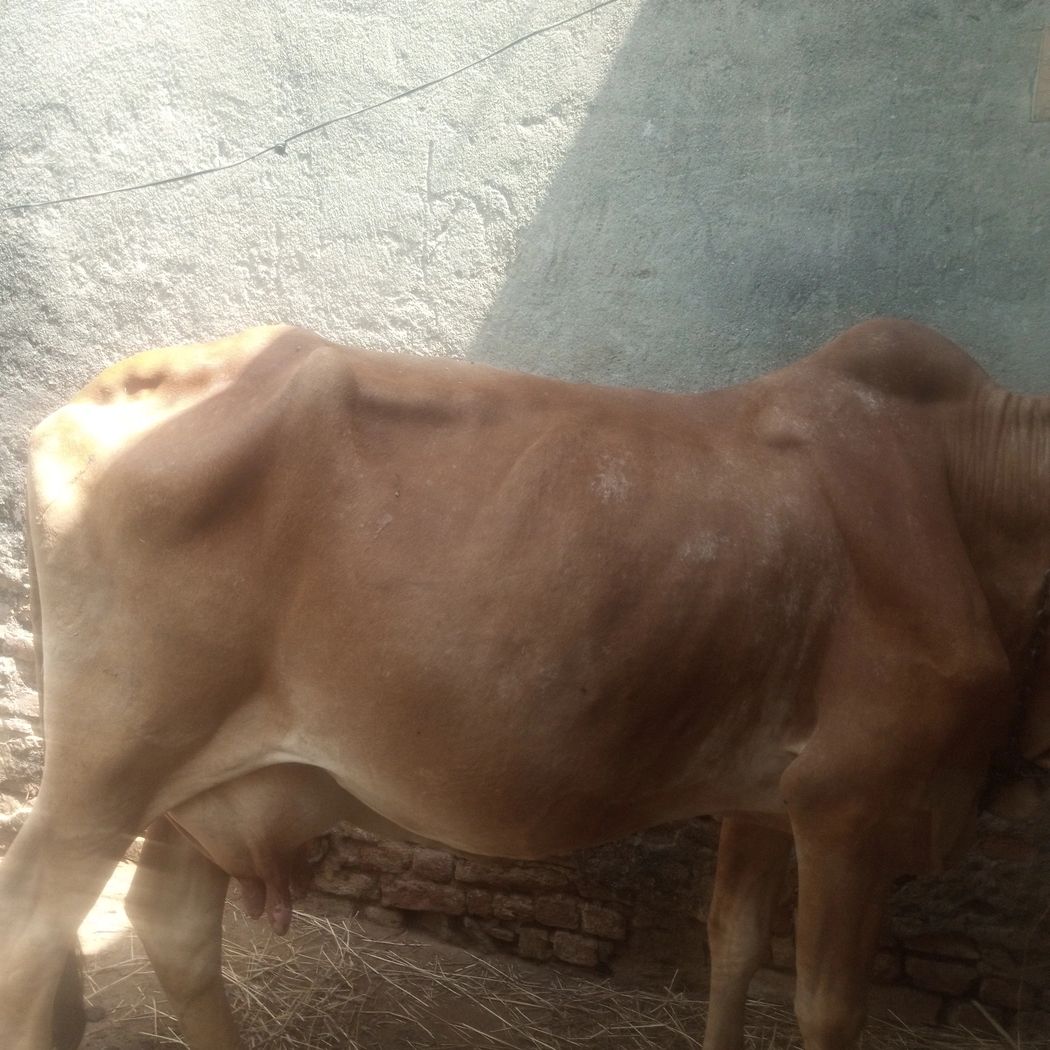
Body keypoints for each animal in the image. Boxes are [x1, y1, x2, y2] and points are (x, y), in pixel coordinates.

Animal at [1, 318, 1047, 1050]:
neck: (967, 484)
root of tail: (85, 400)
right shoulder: (850, 801)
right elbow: (829, 1008)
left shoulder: (767, 795)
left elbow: (735, 944)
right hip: (108, 769)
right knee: (34, 933)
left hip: (202, 779)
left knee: (170, 921)